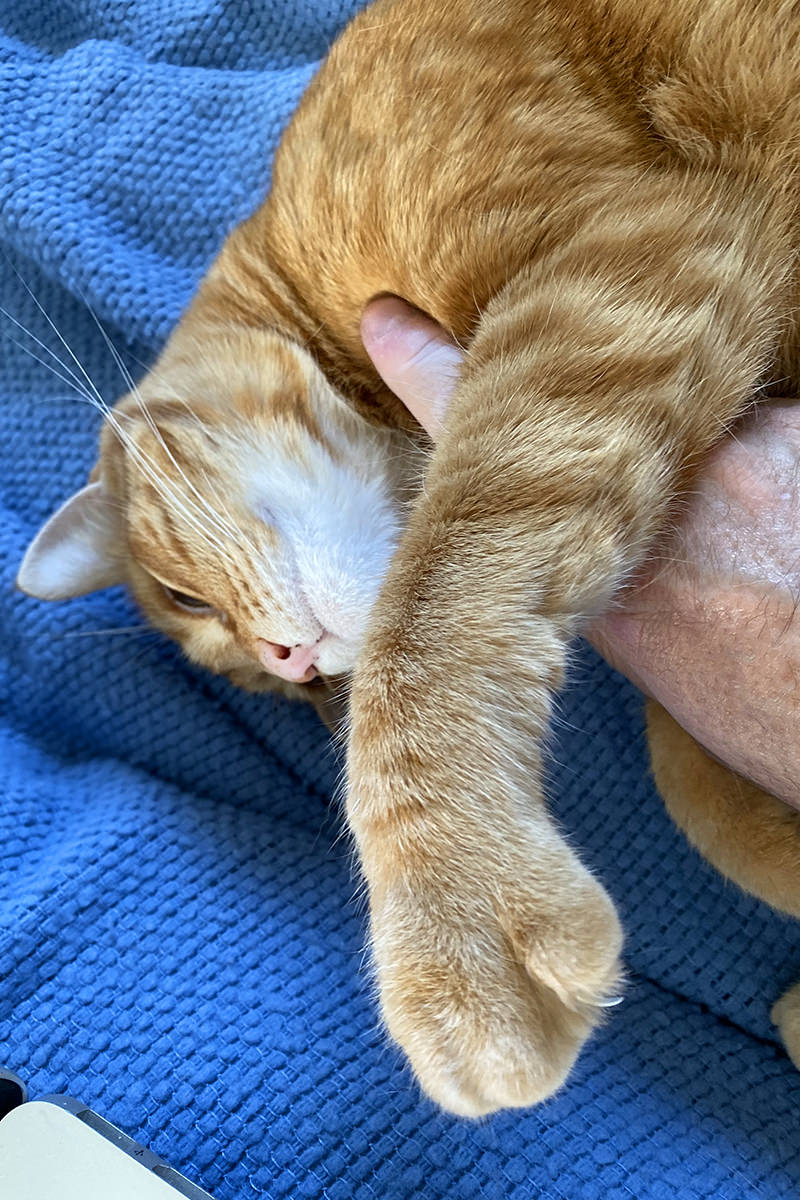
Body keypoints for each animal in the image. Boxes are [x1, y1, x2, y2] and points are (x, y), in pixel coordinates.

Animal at [17, 0, 800, 1113]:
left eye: (184, 598)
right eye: (296, 699)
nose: (294, 662)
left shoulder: (629, 256)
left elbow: (429, 620)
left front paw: (452, 905)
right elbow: (695, 784)